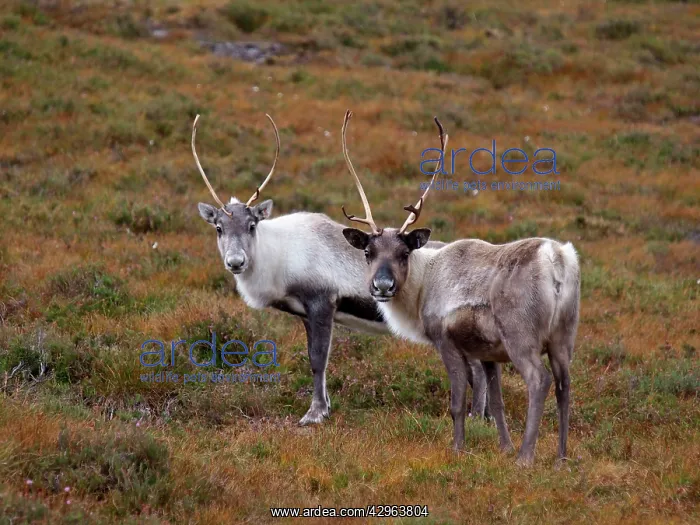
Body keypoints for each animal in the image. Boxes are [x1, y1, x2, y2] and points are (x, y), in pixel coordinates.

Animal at [191, 113, 491, 426]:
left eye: (252, 225)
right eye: (218, 227)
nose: (236, 261)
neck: (279, 256)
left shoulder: (323, 302)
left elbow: (317, 360)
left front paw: (314, 413)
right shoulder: (306, 313)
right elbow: (314, 358)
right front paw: (325, 406)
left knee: (478, 368)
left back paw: (476, 418)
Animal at [339, 110, 580, 466]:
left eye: (404, 253)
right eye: (368, 252)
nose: (382, 285)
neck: (422, 287)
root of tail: (557, 259)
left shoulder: (447, 341)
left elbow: (458, 403)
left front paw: (458, 448)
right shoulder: (489, 352)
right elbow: (496, 402)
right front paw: (503, 447)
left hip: (521, 336)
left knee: (540, 380)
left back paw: (526, 457)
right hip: (564, 336)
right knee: (565, 384)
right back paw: (561, 457)